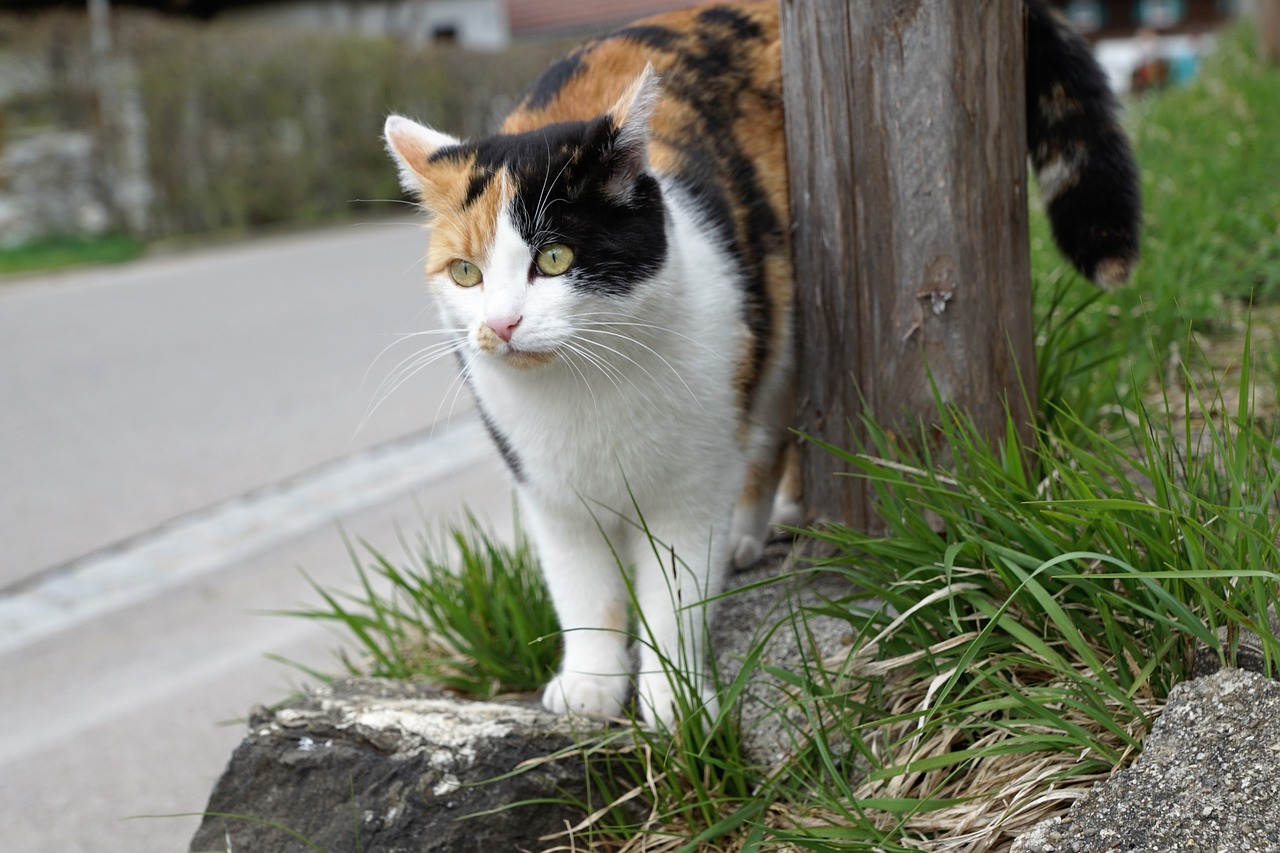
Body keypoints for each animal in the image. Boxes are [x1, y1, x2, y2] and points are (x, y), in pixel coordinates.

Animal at [381, 3, 1141, 727]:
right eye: (465, 272)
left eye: (555, 258)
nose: (500, 325)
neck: (587, 391)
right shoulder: (547, 491)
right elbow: (582, 590)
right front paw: (592, 684)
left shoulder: (693, 483)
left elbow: (676, 596)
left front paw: (676, 698)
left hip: (774, 327)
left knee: (769, 434)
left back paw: (748, 534)